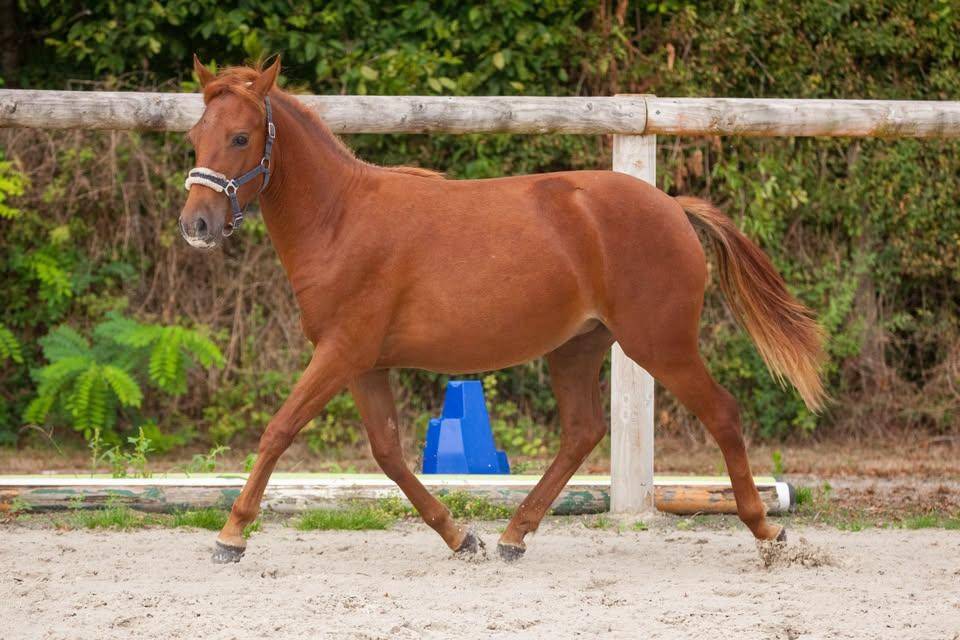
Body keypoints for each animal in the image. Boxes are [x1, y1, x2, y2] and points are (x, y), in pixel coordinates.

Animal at [179, 56, 825, 564]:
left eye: (241, 138)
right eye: (194, 135)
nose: (197, 226)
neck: (340, 218)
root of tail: (672, 206)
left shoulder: (340, 354)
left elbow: (278, 430)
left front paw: (230, 535)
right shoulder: (365, 365)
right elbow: (388, 453)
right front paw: (461, 536)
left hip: (660, 345)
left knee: (722, 414)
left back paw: (765, 529)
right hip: (579, 347)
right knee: (583, 431)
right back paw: (514, 534)